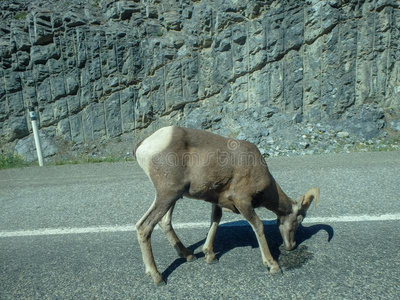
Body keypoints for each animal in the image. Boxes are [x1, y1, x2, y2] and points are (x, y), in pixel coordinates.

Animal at [134, 125, 318, 284]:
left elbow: (215, 221)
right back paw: (157, 277)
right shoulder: (242, 201)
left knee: (164, 222)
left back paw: (188, 255)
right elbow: (258, 226)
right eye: (298, 221)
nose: (291, 246)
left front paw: (210, 256)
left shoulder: (217, 202)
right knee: (144, 226)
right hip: (168, 194)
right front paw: (273, 266)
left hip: (172, 197)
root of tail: (144, 145)